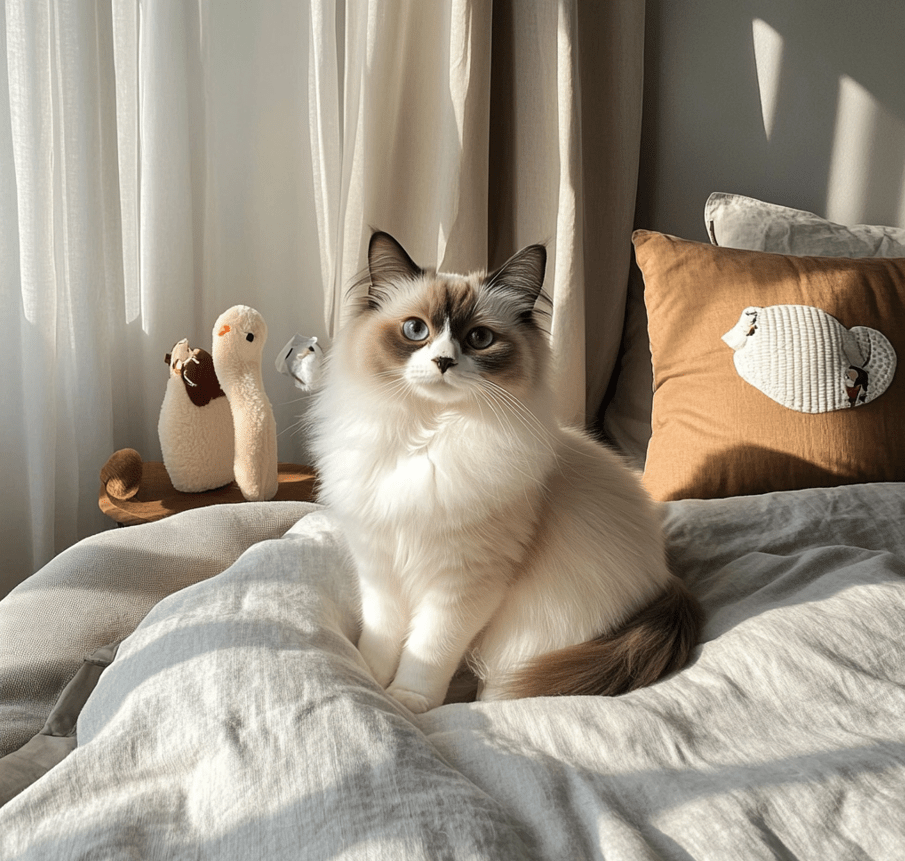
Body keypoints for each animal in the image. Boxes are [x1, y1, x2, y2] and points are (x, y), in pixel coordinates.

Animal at [308, 228, 700, 712]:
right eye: (416, 330)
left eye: (479, 338)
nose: (443, 362)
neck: (430, 437)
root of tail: (667, 579)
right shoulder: (380, 568)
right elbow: (380, 641)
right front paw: (368, 681)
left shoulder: (464, 584)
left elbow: (426, 653)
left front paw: (405, 704)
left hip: (519, 650)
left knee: (492, 687)